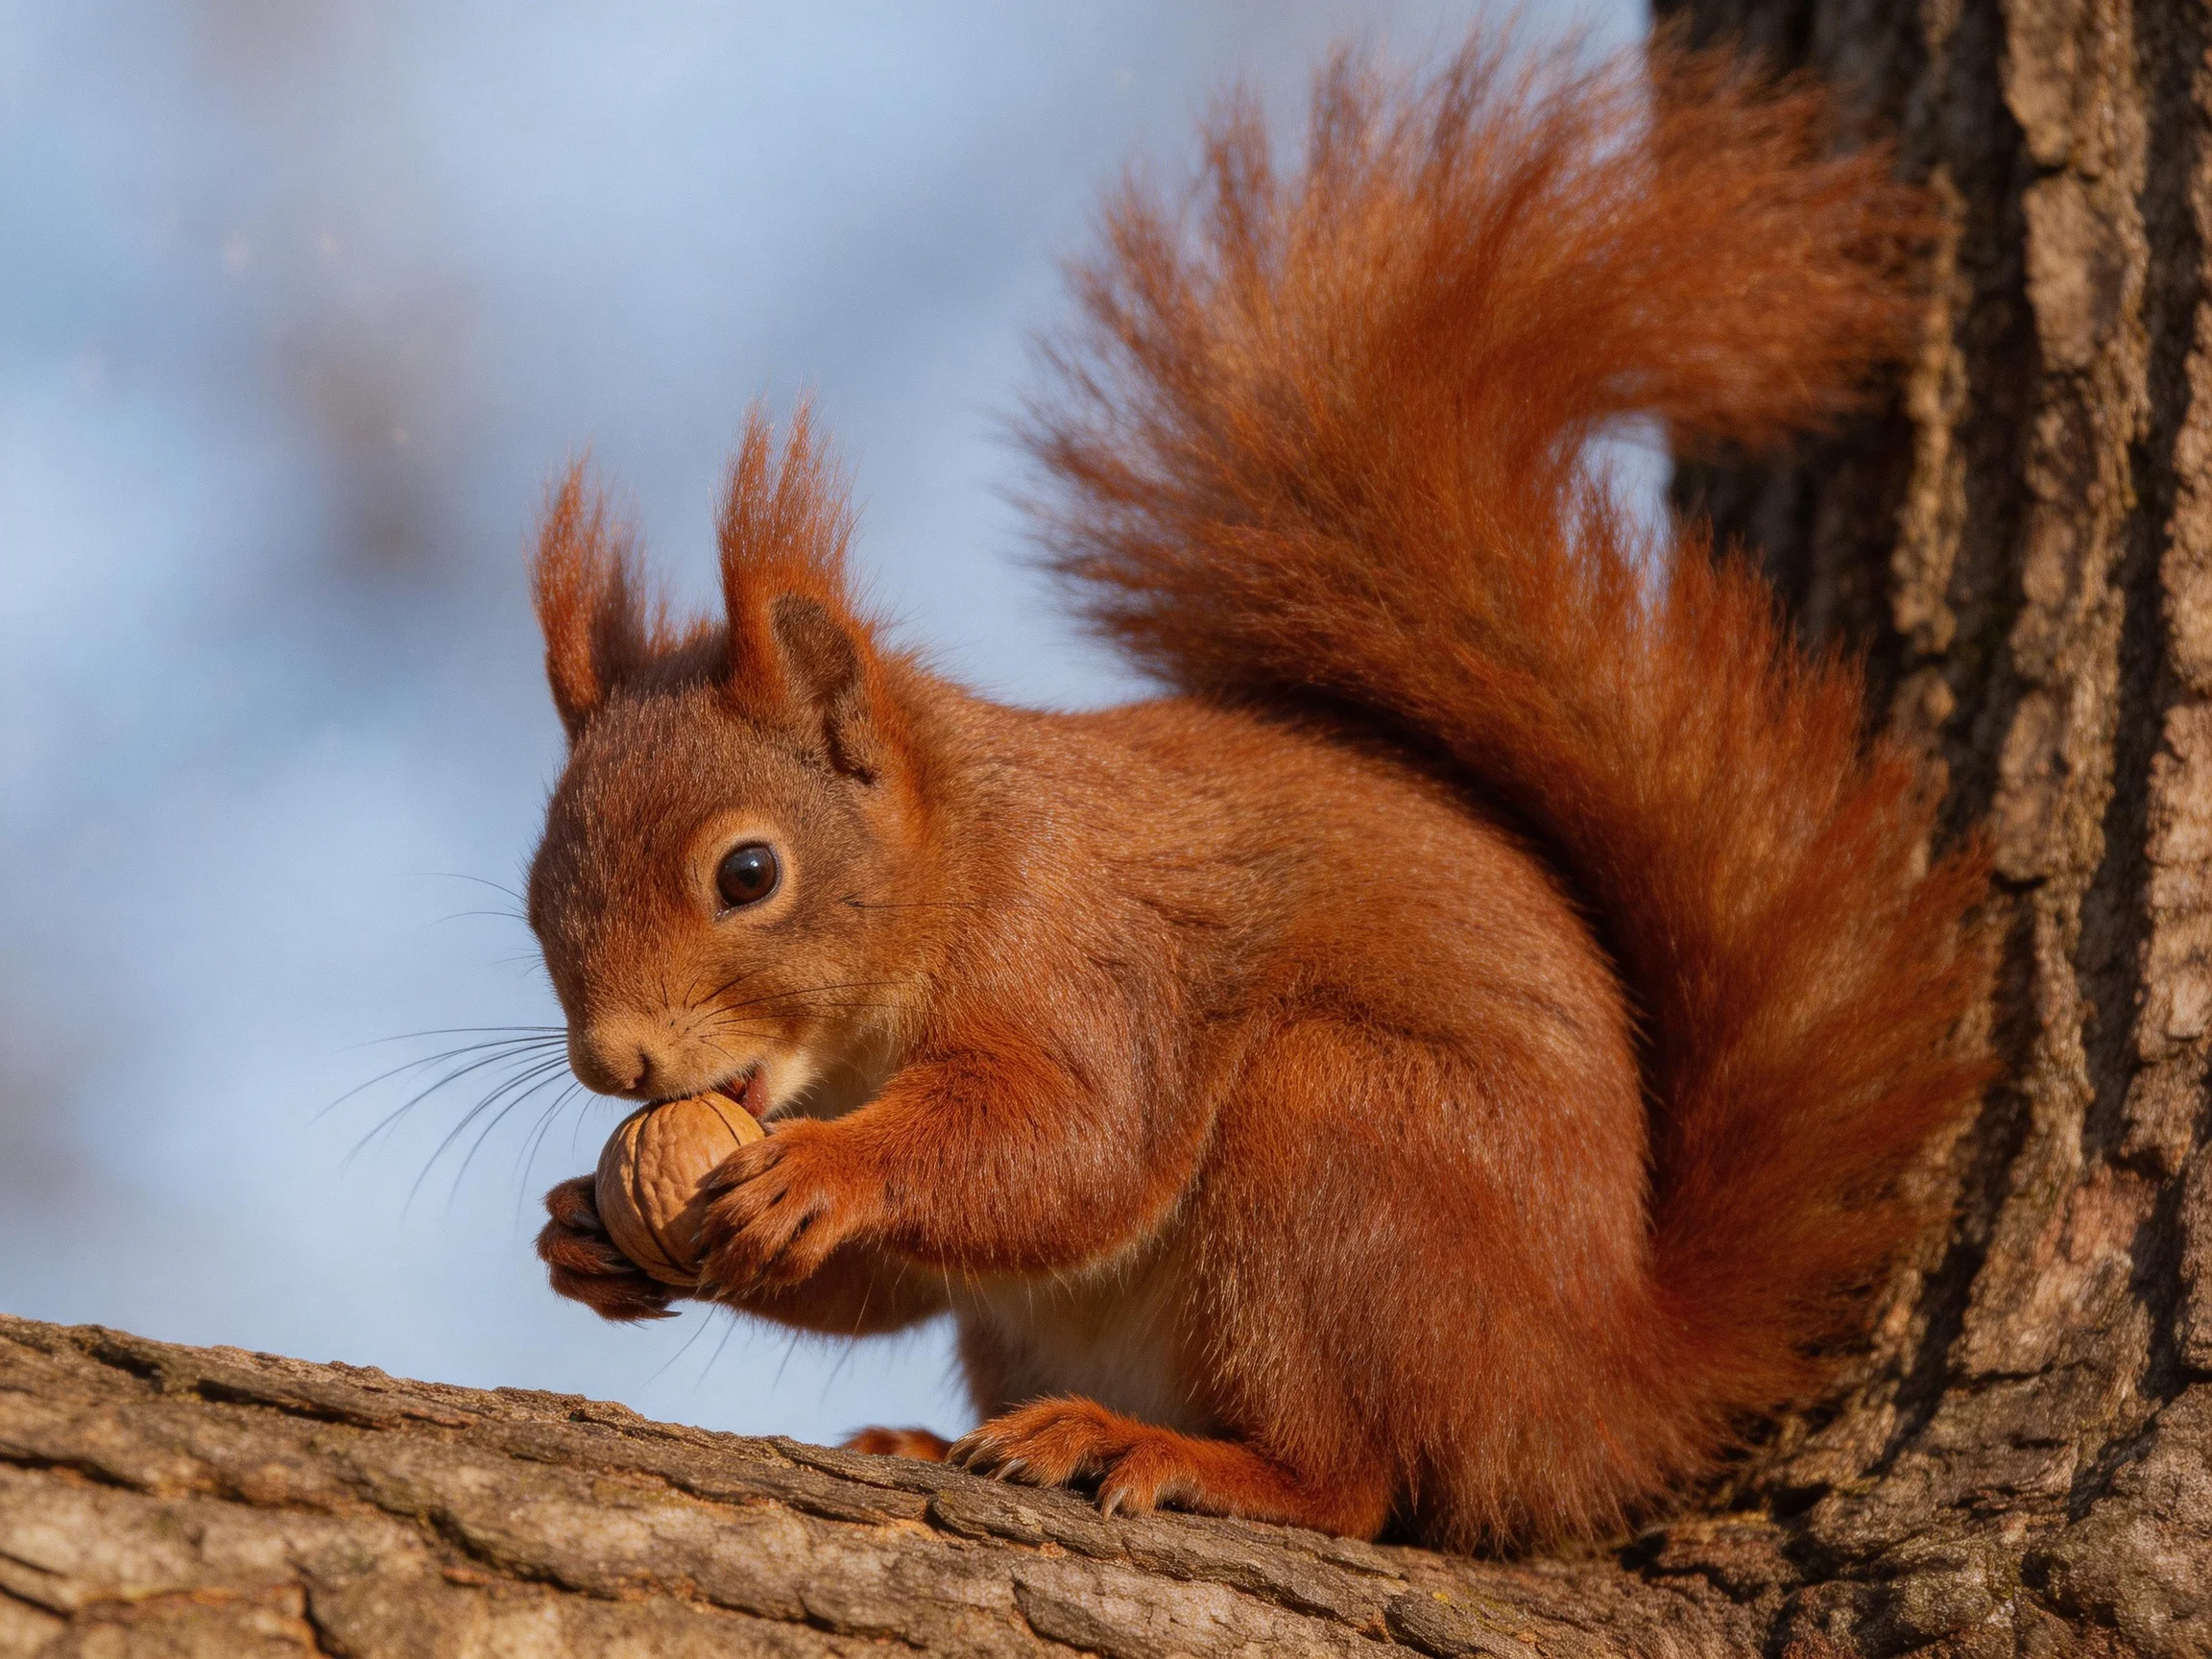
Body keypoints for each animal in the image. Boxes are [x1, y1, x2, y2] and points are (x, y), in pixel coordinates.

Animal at [526, 33, 1993, 1551]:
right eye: (533, 896)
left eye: (748, 874)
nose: (617, 1067)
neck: (963, 863)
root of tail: (1601, 1385)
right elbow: (903, 1280)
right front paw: (582, 1225)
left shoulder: (1087, 956)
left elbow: (1070, 1145)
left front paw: (828, 1170)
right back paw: (934, 1438)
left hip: (1337, 1150)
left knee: (1356, 1482)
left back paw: (1169, 1454)